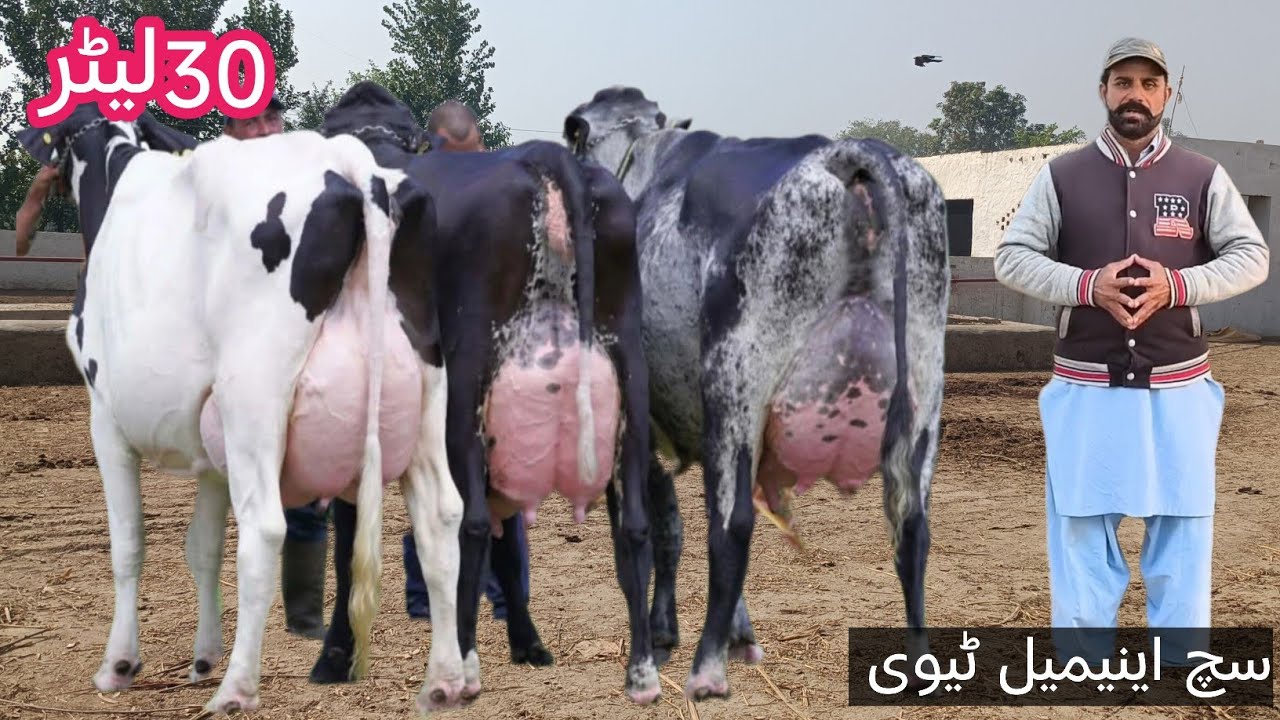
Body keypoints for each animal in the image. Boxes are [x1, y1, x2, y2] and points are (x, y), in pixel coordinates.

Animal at [14, 103, 469, 715]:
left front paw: (119, 665)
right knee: (441, 515)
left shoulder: (104, 415)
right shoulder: (211, 450)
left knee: (265, 530)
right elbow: (202, 547)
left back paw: (235, 688)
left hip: (254, 394)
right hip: (423, 395)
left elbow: (129, 542)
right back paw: (446, 680)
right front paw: (202, 657)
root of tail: (351, 163)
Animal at [307, 81, 661, 705]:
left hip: (468, 379)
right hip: (628, 378)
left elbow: (352, 539)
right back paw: (641, 671)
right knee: (633, 526)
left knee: (468, 521)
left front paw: (335, 655)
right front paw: (528, 643)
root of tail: (549, 157)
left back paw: (462, 666)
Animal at [562, 86, 951, 699]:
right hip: (923, 390)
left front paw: (649, 653)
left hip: (734, 381)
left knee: (732, 527)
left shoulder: (632, 417)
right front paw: (730, 634)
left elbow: (641, 535)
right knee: (911, 526)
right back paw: (920, 666)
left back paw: (705, 669)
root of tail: (845, 153)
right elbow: (673, 523)